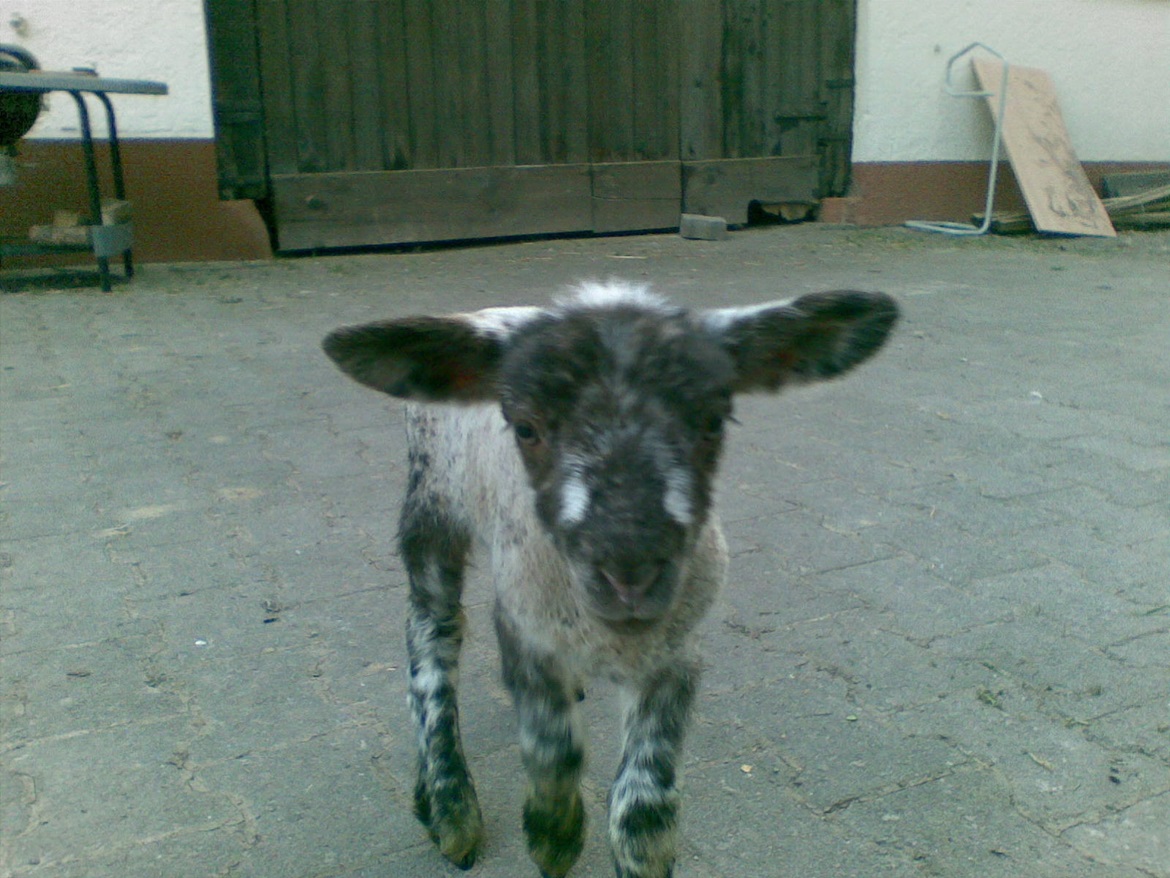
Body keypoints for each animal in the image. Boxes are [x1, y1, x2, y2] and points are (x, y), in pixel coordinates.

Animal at [322, 280, 898, 878]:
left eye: (714, 420)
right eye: (525, 427)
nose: (631, 576)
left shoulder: (675, 651)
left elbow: (645, 807)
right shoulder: (526, 629)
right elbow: (552, 748)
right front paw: (553, 837)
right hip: (431, 503)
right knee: (431, 639)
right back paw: (449, 806)